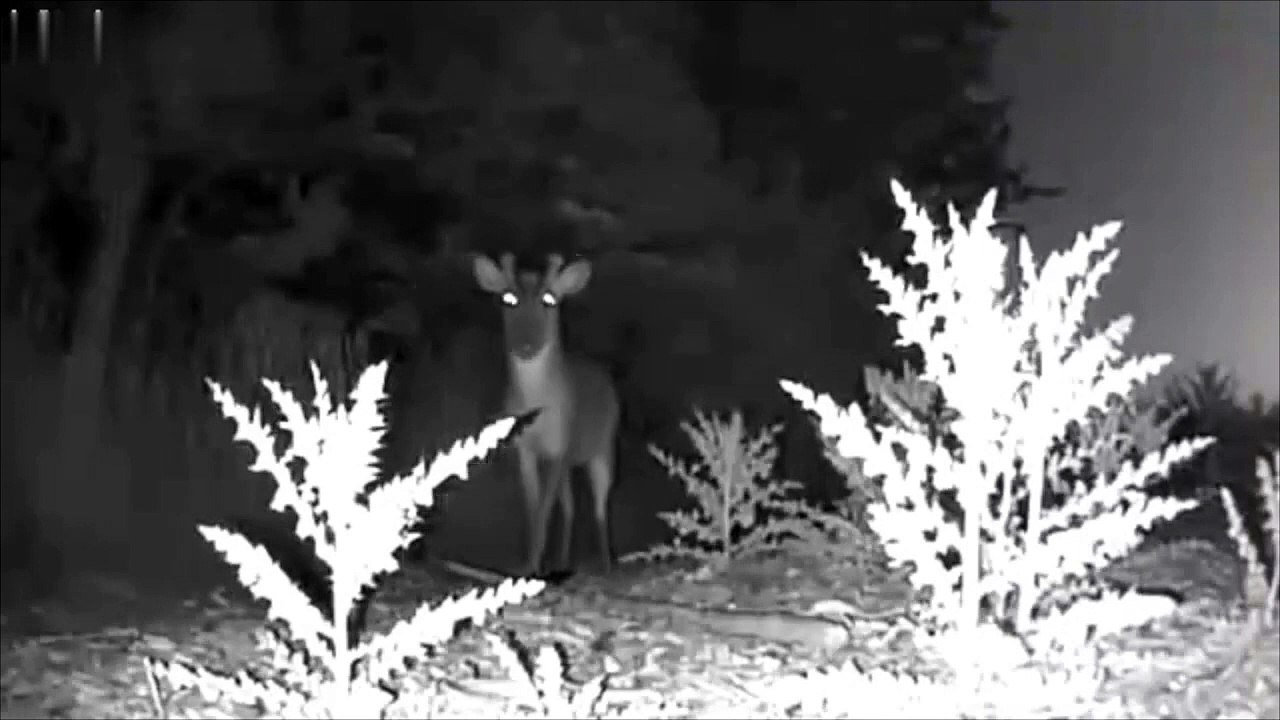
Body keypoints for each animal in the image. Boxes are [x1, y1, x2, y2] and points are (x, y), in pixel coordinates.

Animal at [473, 252, 619, 577]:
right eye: (508, 298)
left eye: (549, 299)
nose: (526, 345)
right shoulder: (525, 448)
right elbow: (533, 506)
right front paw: (529, 564)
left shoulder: (561, 443)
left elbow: (544, 509)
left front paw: (531, 566)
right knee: (570, 506)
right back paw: (563, 562)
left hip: (603, 446)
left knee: (600, 504)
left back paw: (605, 563)